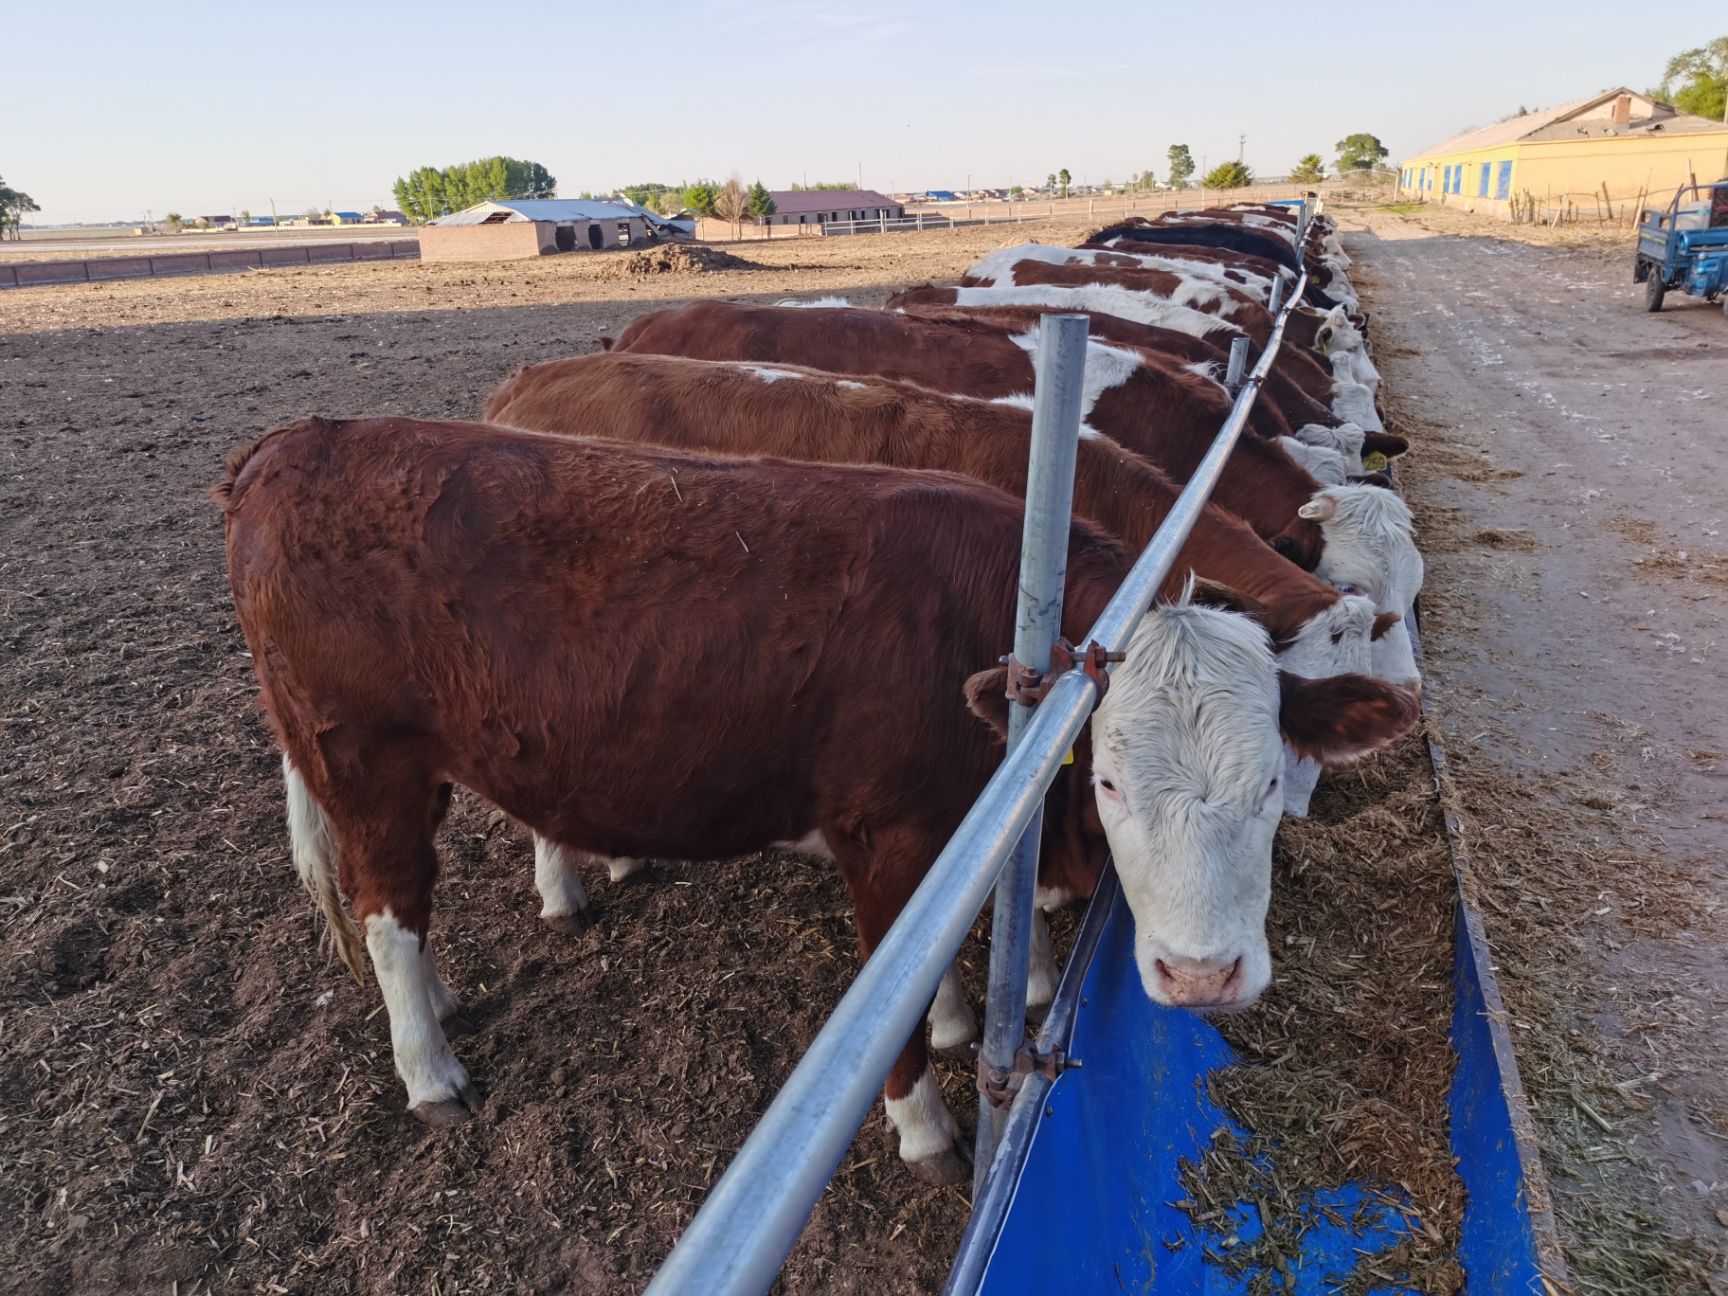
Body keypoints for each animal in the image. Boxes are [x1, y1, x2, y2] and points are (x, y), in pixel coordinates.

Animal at [222, 421, 1416, 1181]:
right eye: (1112, 779)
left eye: (1269, 777)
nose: (1203, 976)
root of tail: (294, 442)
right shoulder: (883, 836)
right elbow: (890, 998)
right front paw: (926, 1127)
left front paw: (958, 1019)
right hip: (362, 762)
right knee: (389, 911)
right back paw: (430, 1067)